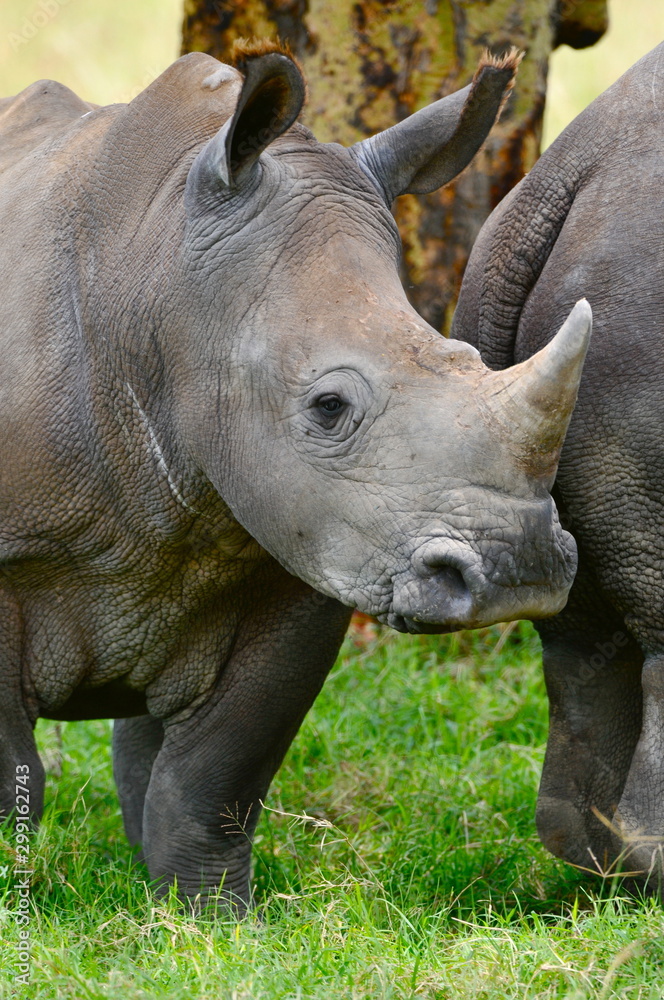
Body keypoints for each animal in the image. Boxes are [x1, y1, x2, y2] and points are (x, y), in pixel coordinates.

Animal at [0, 43, 590, 912]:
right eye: (328, 406)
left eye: (471, 359)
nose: (520, 569)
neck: (156, 276)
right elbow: (15, 777)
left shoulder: (316, 547)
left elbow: (213, 777)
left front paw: (209, 921)